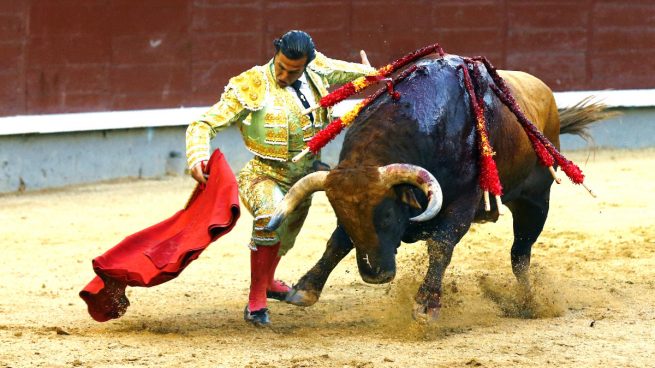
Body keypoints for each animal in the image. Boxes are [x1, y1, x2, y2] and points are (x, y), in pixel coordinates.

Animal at [266, 54, 608, 322]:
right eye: (345, 217)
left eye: (387, 216)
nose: (375, 275)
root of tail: (546, 96)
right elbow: (337, 242)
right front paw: (305, 289)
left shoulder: (463, 203)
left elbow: (441, 245)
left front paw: (426, 305)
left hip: (535, 201)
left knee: (520, 254)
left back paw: (529, 303)